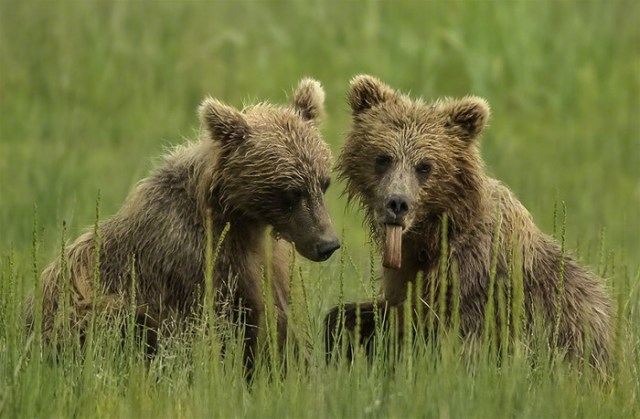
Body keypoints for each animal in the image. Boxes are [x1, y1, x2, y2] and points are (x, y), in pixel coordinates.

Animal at [26, 78, 340, 373]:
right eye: (290, 192)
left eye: (324, 183)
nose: (327, 244)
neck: (240, 219)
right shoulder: (192, 261)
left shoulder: (264, 260)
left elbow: (277, 323)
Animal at [325, 75, 613, 369]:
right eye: (383, 158)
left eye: (425, 166)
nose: (397, 203)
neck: (435, 232)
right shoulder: (407, 272)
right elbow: (386, 314)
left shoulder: (475, 275)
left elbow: (452, 339)